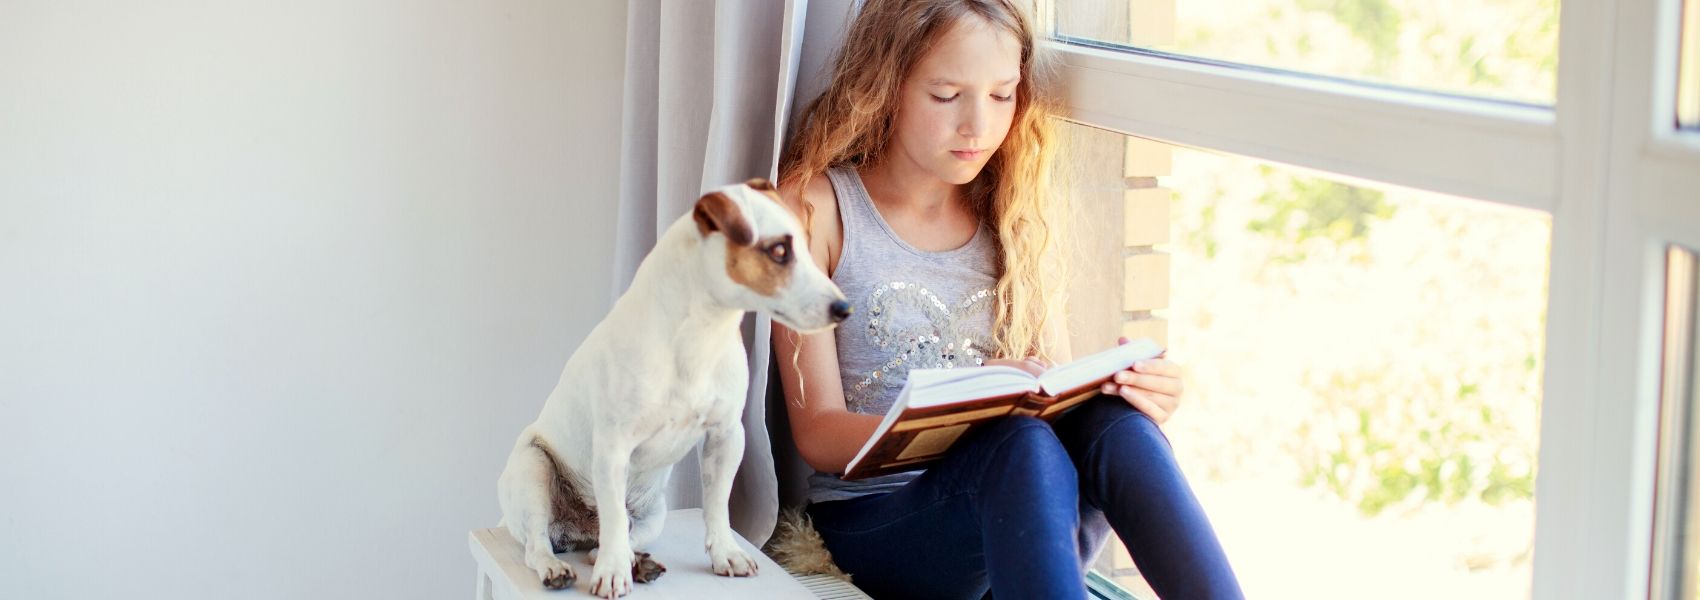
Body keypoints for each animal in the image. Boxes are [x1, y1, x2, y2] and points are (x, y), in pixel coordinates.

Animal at [499, 176, 850, 594]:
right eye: (779, 250)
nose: (844, 309)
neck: (700, 335)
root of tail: (578, 530)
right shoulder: (613, 447)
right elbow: (613, 520)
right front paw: (612, 574)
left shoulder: (726, 435)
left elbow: (717, 506)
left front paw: (725, 554)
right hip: (534, 470)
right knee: (543, 544)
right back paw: (560, 567)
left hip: (654, 515)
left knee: (607, 544)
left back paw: (636, 562)